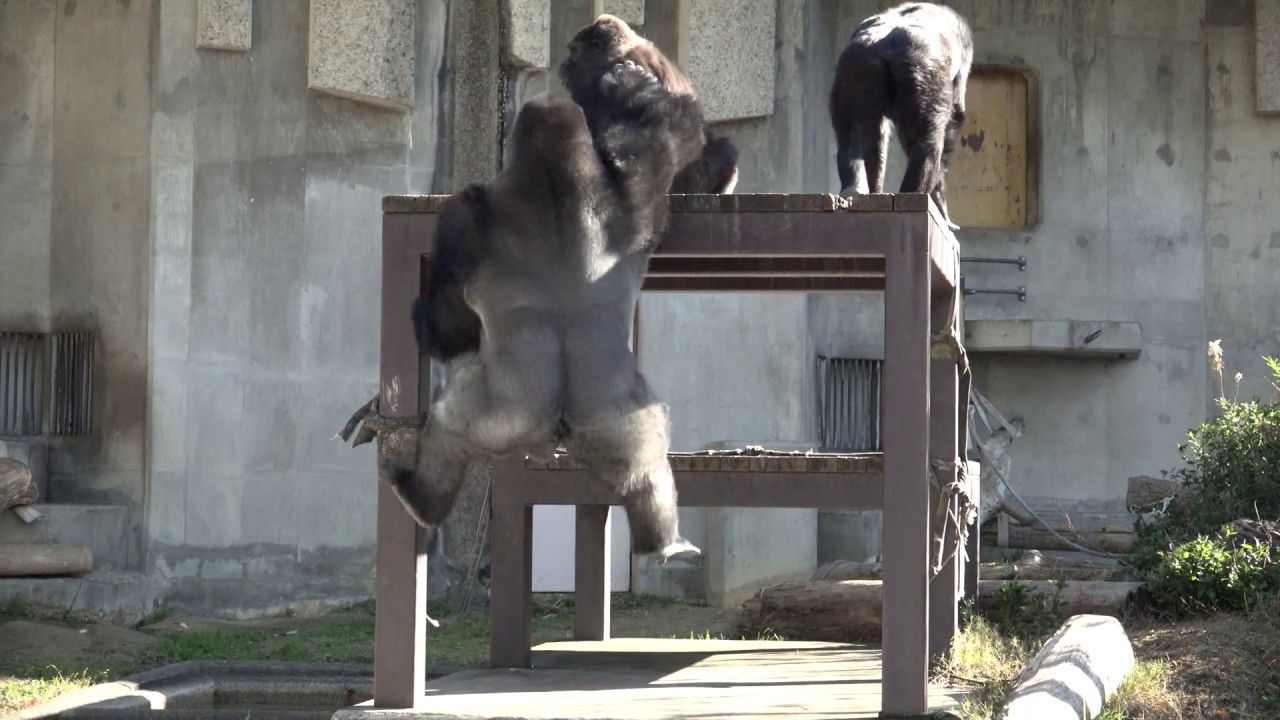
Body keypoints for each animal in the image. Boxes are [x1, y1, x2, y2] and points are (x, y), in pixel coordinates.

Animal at [381, 61, 707, 563]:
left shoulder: (458, 218)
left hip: (499, 420)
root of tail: (557, 426)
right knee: (646, 466)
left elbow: (445, 326)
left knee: (448, 426)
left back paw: (422, 498)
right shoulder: (629, 189)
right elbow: (669, 139)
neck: (553, 173)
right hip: (619, 419)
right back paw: (664, 541)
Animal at [829, 2, 973, 229]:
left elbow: (876, 140)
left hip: (851, 72)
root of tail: (877, 46)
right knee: (927, 143)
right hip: (921, 75)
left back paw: (856, 190)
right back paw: (923, 197)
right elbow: (956, 112)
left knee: (853, 137)